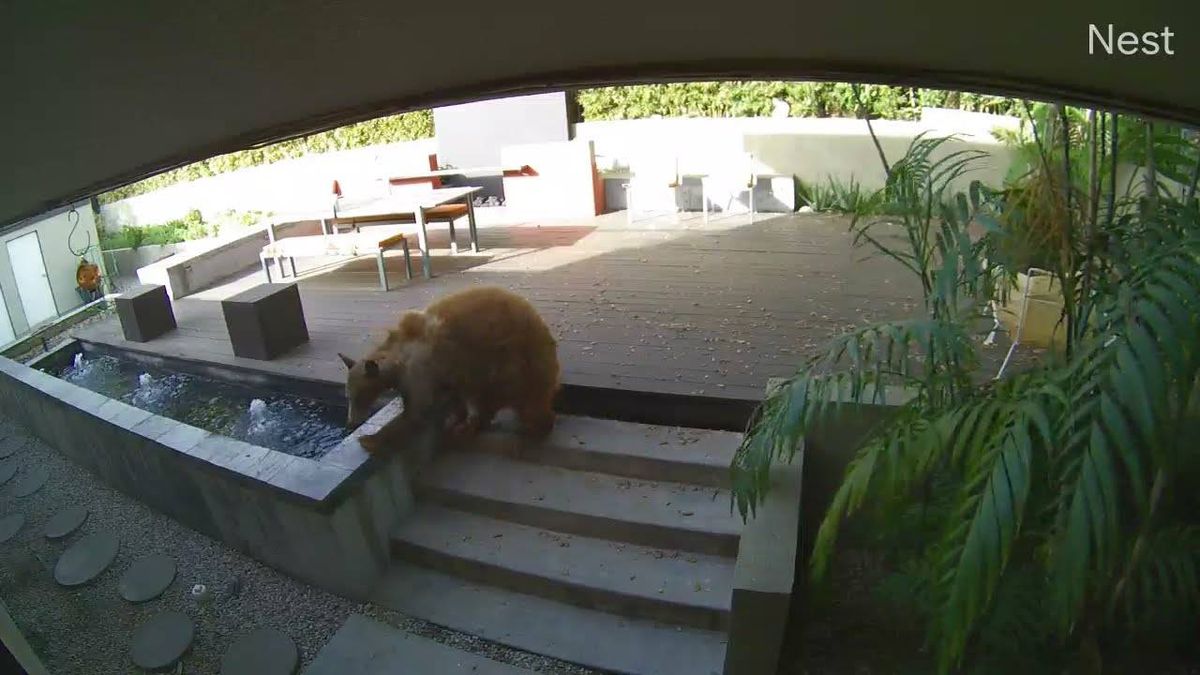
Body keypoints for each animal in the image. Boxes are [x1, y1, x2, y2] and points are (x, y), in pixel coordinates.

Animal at [339, 286, 560, 454]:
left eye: (358, 397)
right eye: (348, 396)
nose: (350, 423)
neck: (399, 353)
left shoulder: (420, 369)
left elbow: (418, 409)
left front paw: (370, 439)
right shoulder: (446, 369)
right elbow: (455, 393)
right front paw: (457, 415)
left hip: (513, 363)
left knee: (518, 399)